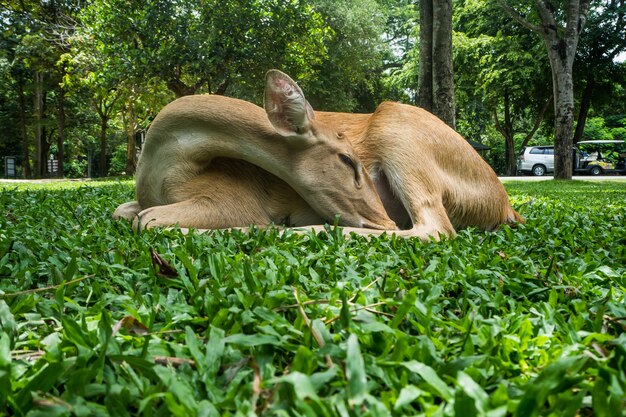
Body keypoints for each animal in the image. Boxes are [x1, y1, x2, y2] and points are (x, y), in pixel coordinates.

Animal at [113, 70, 520, 239]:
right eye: (347, 160)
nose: (385, 220)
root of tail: (504, 205)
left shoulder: (231, 197)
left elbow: (146, 220)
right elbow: (123, 212)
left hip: (401, 136)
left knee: (435, 229)